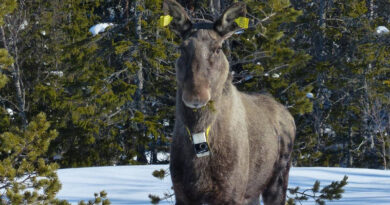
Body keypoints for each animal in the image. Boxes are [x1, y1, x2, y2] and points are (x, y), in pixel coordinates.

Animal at [164, 0, 296, 204]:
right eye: (182, 48)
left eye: (218, 48)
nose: (195, 96)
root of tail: (289, 115)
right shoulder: (183, 194)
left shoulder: (231, 193)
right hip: (252, 192)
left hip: (278, 178)